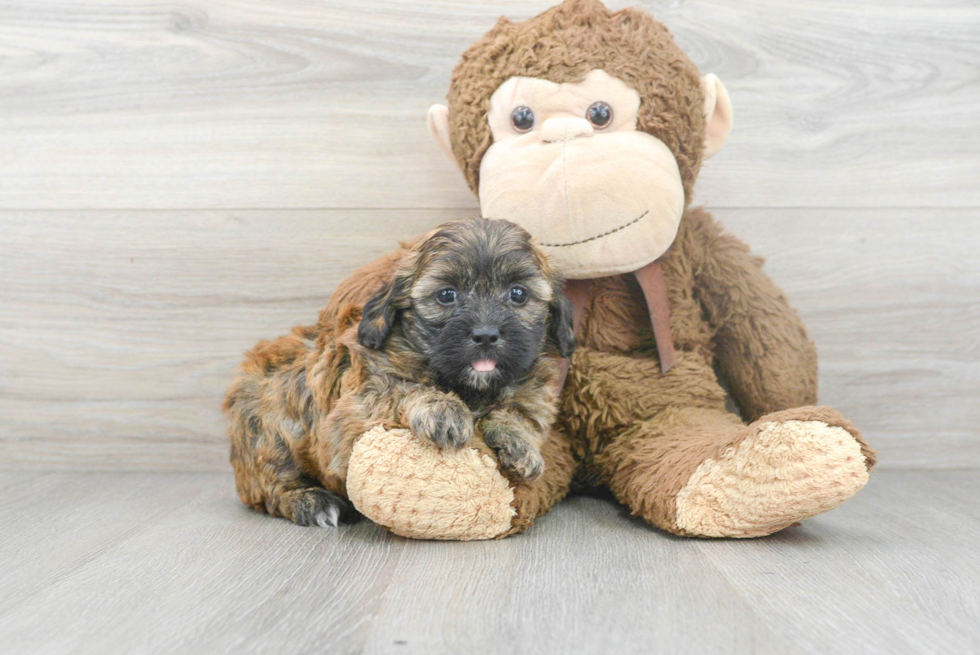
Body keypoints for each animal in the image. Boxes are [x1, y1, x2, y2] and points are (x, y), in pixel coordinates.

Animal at [224, 218, 576, 532]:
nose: (486, 334)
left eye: (518, 294)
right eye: (447, 295)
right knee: (270, 484)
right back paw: (310, 501)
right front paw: (444, 410)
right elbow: (404, 387)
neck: (470, 387)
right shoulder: (356, 405)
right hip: (269, 422)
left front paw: (521, 444)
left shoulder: (534, 391)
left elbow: (520, 410)